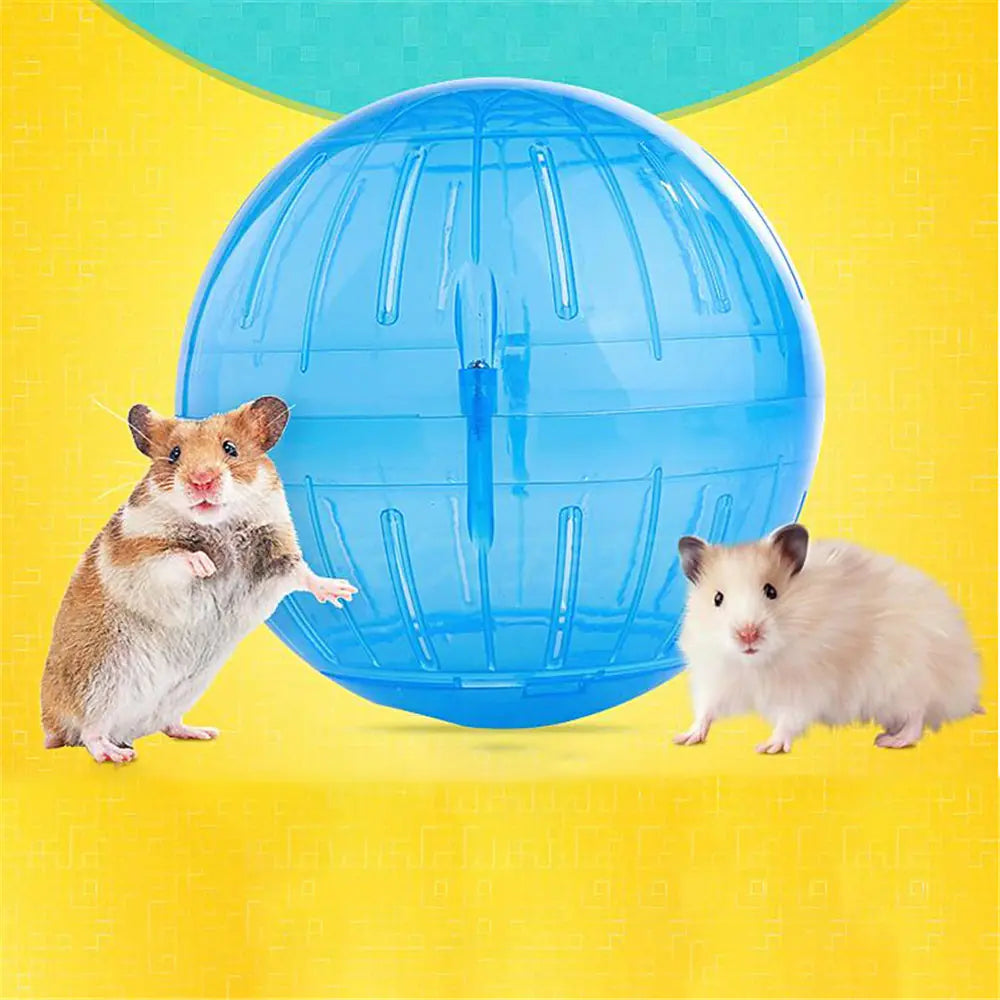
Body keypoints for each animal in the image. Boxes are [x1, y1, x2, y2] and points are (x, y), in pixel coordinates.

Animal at [40, 395, 358, 764]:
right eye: (174, 453)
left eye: (230, 448)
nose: (202, 480)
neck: (219, 524)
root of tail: (50, 726)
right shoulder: (139, 555)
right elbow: (174, 556)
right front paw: (206, 566)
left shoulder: (276, 555)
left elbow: (302, 573)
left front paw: (344, 592)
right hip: (100, 681)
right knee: (89, 732)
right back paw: (116, 754)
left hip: (180, 691)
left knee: (166, 723)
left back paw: (201, 732)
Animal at [672, 523, 983, 754]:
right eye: (718, 598)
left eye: (771, 591)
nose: (747, 634)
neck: (758, 663)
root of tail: (967, 688)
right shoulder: (716, 677)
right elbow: (706, 710)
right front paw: (684, 738)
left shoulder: (807, 686)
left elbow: (789, 719)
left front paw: (767, 747)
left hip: (905, 681)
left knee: (918, 714)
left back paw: (891, 740)